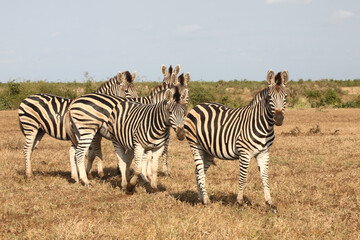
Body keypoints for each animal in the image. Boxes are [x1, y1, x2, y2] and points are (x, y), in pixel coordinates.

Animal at [184, 69, 288, 212]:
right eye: (269, 98)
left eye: (285, 97)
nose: (278, 119)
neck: (264, 126)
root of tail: (198, 105)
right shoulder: (245, 153)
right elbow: (243, 177)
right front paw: (239, 202)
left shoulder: (264, 153)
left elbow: (265, 177)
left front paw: (270, 203)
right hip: (195, 145)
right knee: (199, 171)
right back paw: (206, 201)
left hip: (208, 150)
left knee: (198, 172)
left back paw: (201, 198)